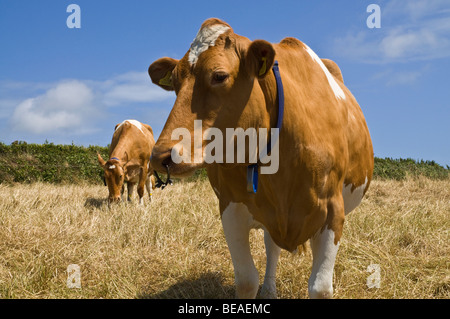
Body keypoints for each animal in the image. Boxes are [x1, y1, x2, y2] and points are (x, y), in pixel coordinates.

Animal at [147, 18, 372, 300]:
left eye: (219, 76)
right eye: (175, 83)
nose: (160, 155)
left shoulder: (333, 211)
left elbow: (320, 287)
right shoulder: (230, 207)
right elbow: (246, 281)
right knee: (271, 247)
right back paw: (270, 290)